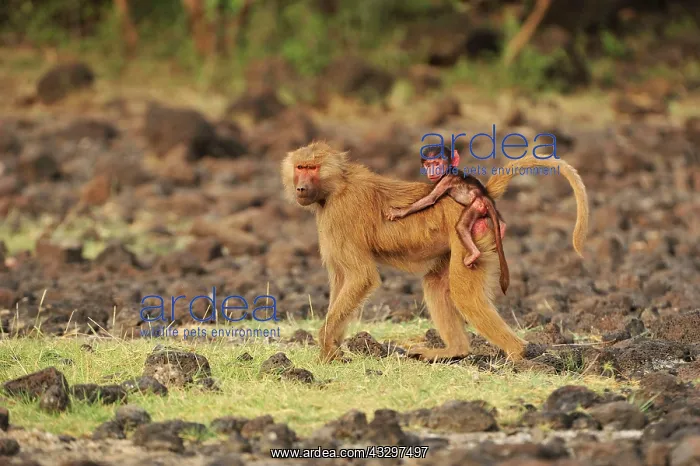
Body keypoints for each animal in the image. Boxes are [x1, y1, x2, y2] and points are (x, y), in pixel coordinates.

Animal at [385, 146, 510, 295]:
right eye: (428, 165)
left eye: (436, 163)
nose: (432, 171)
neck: (448, 171)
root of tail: (484, 197)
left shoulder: (445, 180)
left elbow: (430, 199)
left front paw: (399, 212)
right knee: (498, 222)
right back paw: (502, 227)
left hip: (476, 205)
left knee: (461, 227)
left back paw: (474, 254)